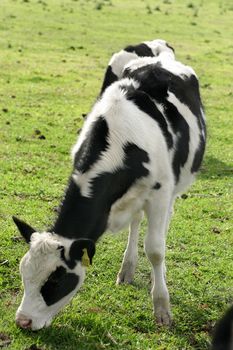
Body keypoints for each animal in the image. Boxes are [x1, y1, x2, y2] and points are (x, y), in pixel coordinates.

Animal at [12, 39, 206, 330]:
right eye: (24, 273)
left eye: (55, 280)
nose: (23, 321)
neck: (121, 141)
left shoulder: (159, 193)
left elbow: (156, 250)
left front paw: (162, 307)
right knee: (136, 222)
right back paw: (127, 269)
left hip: (174, 184)